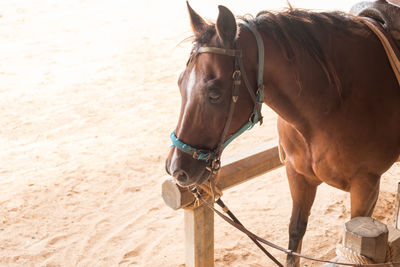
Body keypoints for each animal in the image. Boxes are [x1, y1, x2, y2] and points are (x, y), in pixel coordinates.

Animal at [165, 2, 400, 267]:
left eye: (214, 93)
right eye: (180, 83)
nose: (175, 168)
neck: (333, 104)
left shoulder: (366, 186)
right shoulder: (297, 174)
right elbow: (295, 235)